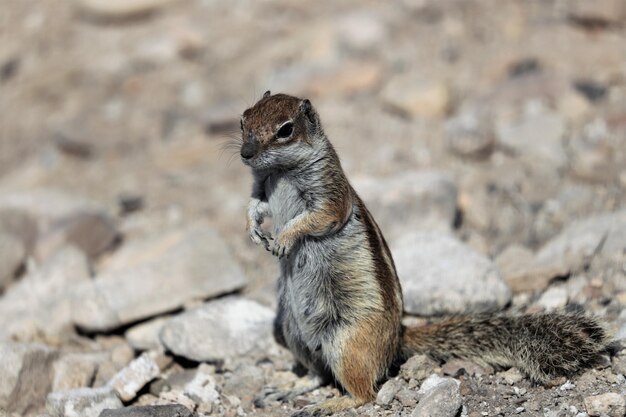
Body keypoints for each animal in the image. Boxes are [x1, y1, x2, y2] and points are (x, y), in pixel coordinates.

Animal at [240, 92, 608, 416]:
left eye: (285, 130)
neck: (280, 172)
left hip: (348, 343)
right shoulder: (261, 187)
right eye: (244, 119)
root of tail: (395, 340)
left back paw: (331, 404)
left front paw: (283, 238)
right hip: (295, 334)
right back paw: (289, 388)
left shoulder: (329, 193)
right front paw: (255, 229)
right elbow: (257, 205)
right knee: (318, 374)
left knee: (364, 393)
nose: (245, 153)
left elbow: (317, 217)